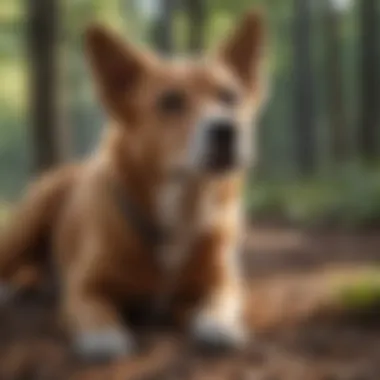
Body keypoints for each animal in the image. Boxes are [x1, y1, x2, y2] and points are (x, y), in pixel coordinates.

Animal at [0, 8, 268, 360]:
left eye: (230, 97)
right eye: (170, 101)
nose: (226, 129)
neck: (181, 210)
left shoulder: (225, 281)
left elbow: (221, 302)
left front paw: (217, 325)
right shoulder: (83, 286)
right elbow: (94, 308)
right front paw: (103, 337)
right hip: (28, 221)